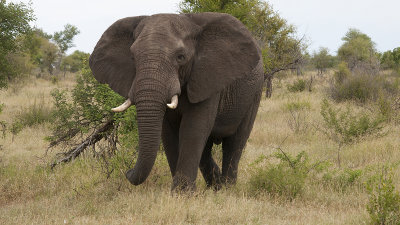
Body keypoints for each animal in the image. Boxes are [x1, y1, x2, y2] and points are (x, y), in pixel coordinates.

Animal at [91, 12, 266, 191]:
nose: (127, 171)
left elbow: (193, 128)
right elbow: (168, 133)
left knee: (235, 143)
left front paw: (183, 193)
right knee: (206, 149)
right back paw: (215, 186)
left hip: (254, 93)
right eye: (132, 57)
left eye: (181, 57)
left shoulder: (207, 78)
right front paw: (179, 192)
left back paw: (227, 189)